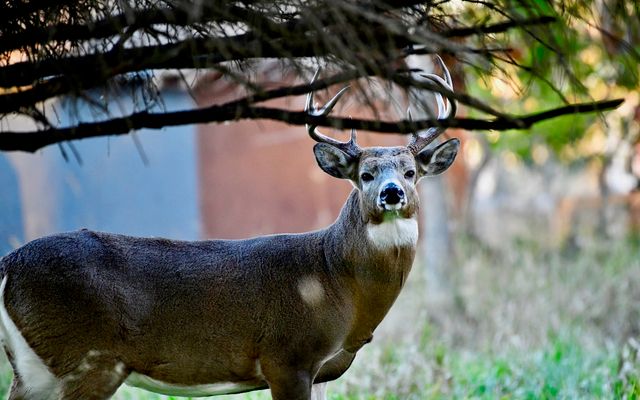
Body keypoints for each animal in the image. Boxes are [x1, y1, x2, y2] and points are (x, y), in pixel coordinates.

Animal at [0, 57, 459, 400]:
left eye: (411, 171)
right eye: (365, 174)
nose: (391, 193)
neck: (333, 279)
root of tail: (8, 264)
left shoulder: (322, 370)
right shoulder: (286, 356)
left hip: (35, 368)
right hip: (87, 357)